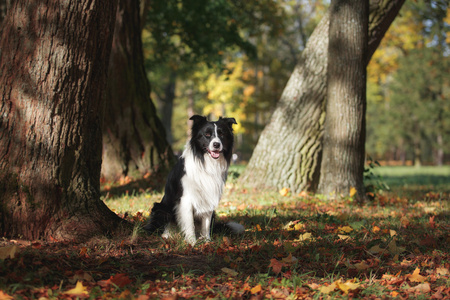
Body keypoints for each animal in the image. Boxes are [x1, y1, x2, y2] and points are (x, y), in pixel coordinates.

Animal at [143, 115, 243, 244]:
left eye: (222, 134)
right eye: (207, 134)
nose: (216, 144)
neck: (206, 162)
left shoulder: (209, 197)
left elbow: (206, 224)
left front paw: (206, 241)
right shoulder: (186, 199)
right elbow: (189, 223)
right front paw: (192, 243)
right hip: (160, 208)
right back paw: (167, 235)